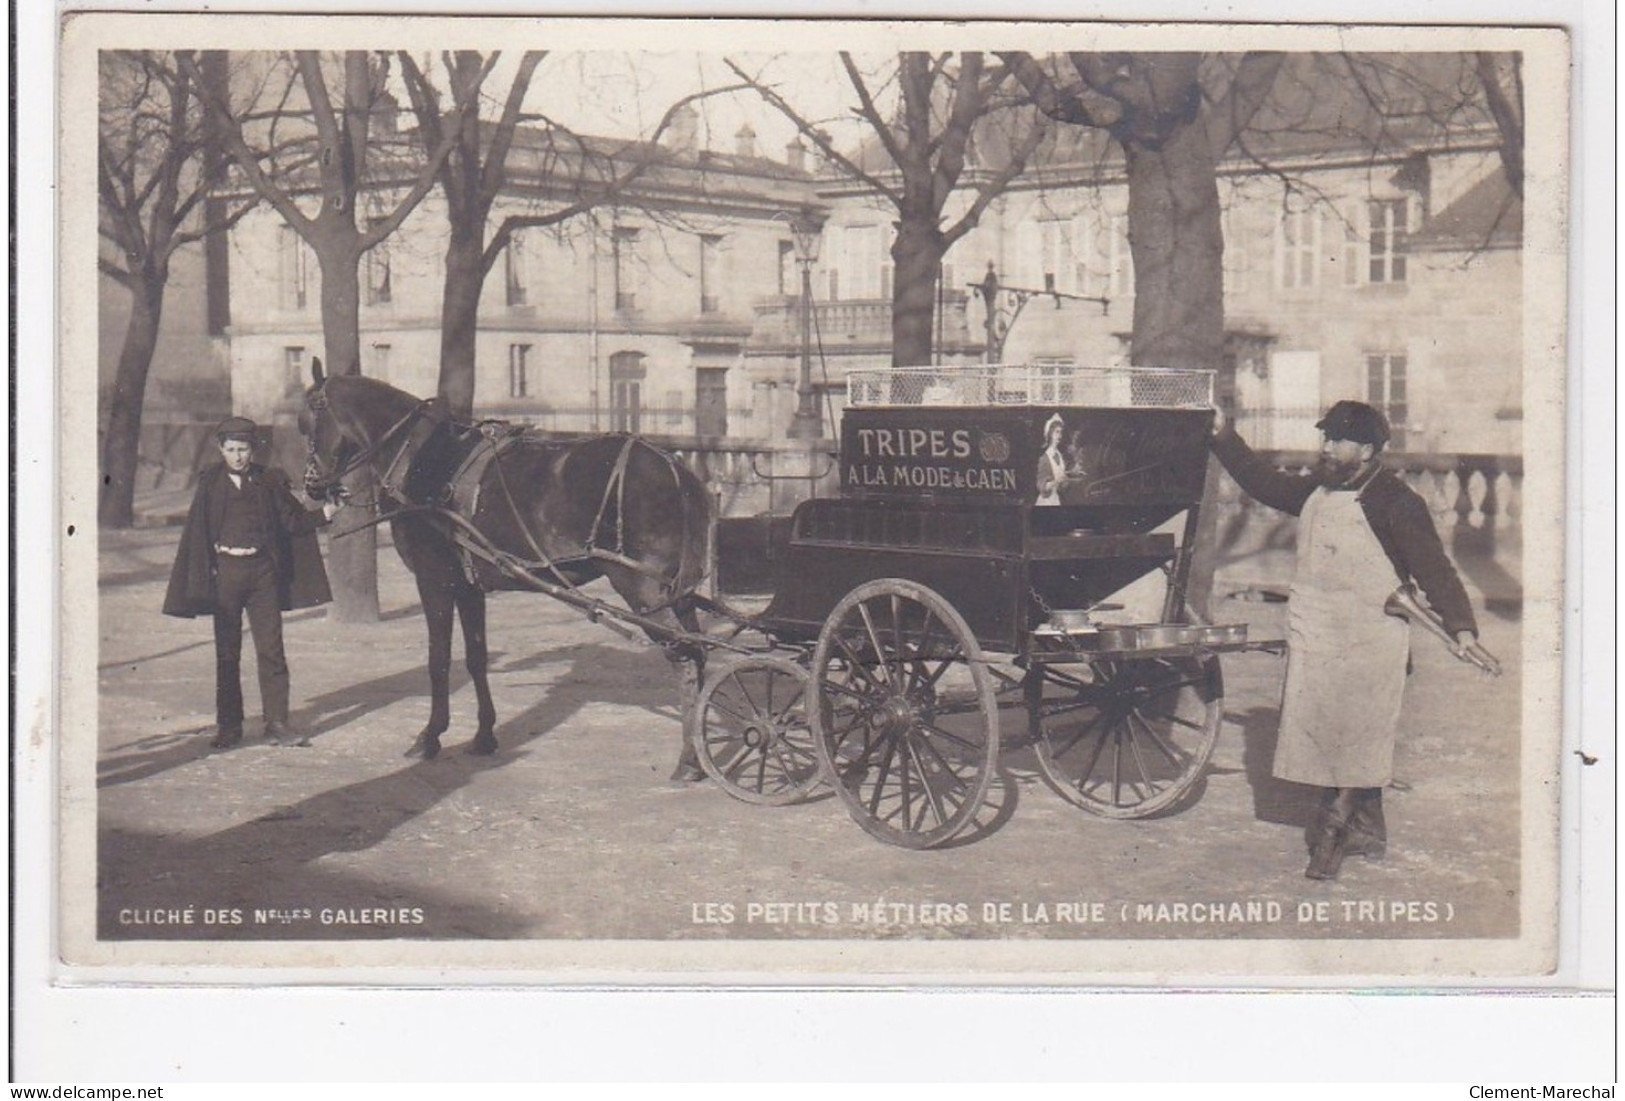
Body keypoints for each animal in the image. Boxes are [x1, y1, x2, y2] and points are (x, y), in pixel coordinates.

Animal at [297, 360, 711, 776]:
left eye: (310, 417)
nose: (313, 485)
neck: (418, 456)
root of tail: (676, 469)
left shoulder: (434, 579)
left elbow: (438, 660)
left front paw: (430, 736)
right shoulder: (468, 585)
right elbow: (475, 658)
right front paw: (484, 735)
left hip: (642, 588)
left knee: (686, 658)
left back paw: (689, 759)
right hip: (677, 595)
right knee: (699, 655)